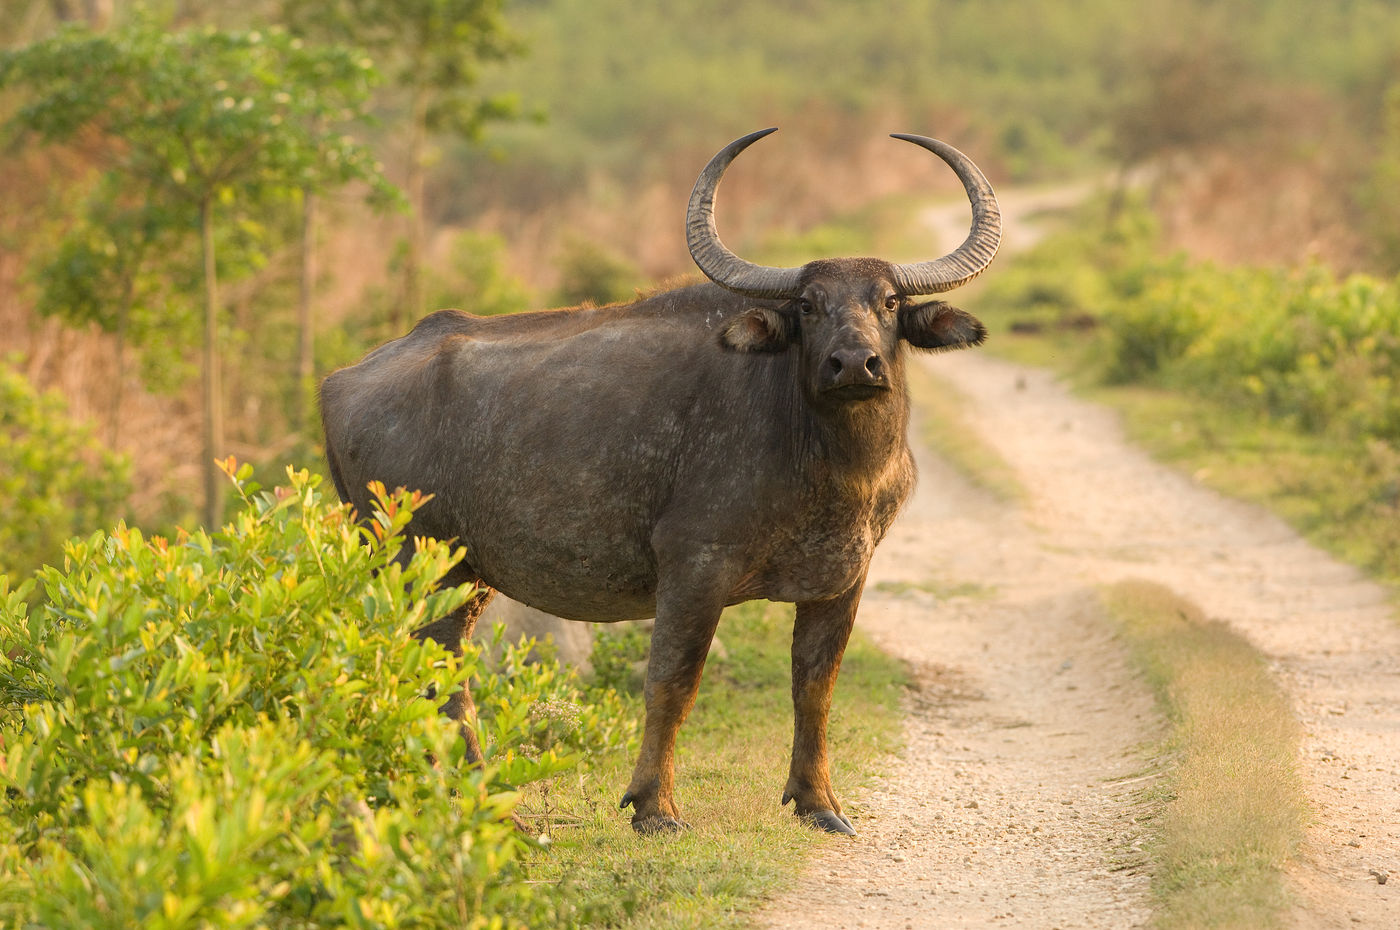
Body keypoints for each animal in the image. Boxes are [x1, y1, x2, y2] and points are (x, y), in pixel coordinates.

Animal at [320, 128, 996, 834]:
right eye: (809, 306)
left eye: (888, 302)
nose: (854, 363)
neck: (826, 459)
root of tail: (342, 380)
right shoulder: (695, 566)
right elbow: (673, 683)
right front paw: (655, 806)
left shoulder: (846, 577)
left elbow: (815, 687)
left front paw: (817, 801)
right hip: (413, 564)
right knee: (426, 669)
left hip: (466, 578)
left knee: (443, 670)